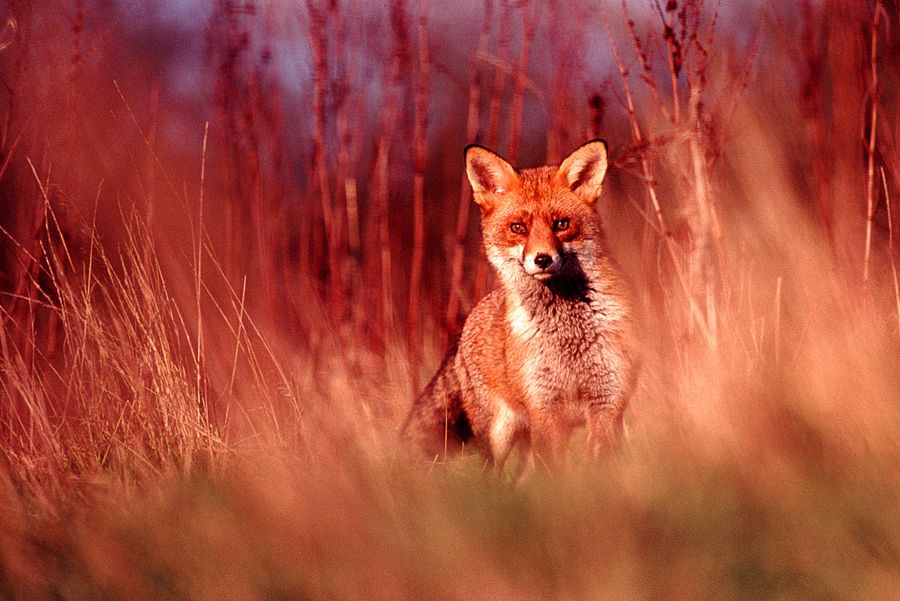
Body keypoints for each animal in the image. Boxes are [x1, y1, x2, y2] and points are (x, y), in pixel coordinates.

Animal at [402, 139, 637, 470]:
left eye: (561, 224)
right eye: (518, 228)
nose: (542, 259)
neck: (568, 336)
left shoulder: (607, 402)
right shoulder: (544, 408)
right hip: (498, 435)